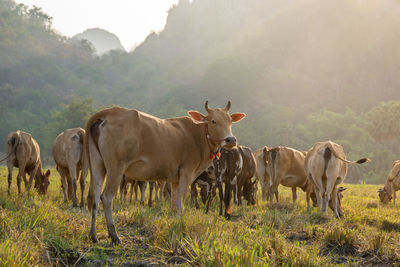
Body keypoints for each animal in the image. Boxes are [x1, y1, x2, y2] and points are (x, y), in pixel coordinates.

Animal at [86, 101, 245, 245]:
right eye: (213, 121)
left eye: (230, 121)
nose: (231, 139)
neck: (197, 137)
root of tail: (109, 111)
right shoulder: (186, 174)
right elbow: (180, 203)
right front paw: (180, 228)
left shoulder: (175, 180)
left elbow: (174, 204)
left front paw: (174, 226)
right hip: (116, 167)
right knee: (106, 197)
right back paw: (114, 236)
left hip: (97, 165)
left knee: (95, 198)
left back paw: (93, 236)